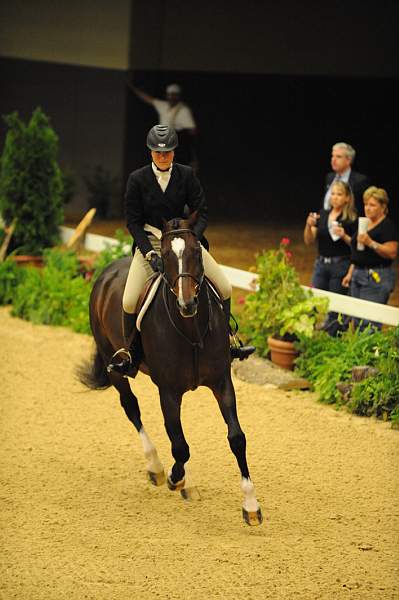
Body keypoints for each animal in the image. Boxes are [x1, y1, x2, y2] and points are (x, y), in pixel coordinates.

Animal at [80, 216, 264, 524]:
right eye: (165, 256)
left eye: (197, 252)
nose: (186, 304)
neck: (191, 330)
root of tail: (106, 272)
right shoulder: (167, 392)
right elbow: (180, 446)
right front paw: (176, 479)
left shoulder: (222, 382)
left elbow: (237, 438)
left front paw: (251, 506)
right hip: (114, 364)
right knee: (131, 407)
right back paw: (156, 468)